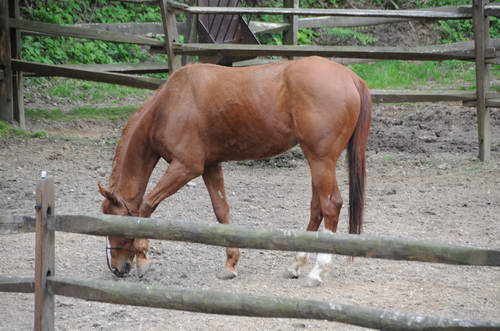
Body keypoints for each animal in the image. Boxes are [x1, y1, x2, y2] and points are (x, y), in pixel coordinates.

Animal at [98, 55, 372, 286]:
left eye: (113, 223)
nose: (117, 268)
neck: (170, 104)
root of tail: (350, 77)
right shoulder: (210, 166)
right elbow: (221, 211)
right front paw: (230, 264)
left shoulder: (185, 167)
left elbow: (146, 206)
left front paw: (143, 257)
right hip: (317, 162)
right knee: (317, 209)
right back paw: (297, 264)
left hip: (321, 160)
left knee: (330, 206)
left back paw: (317, 272)